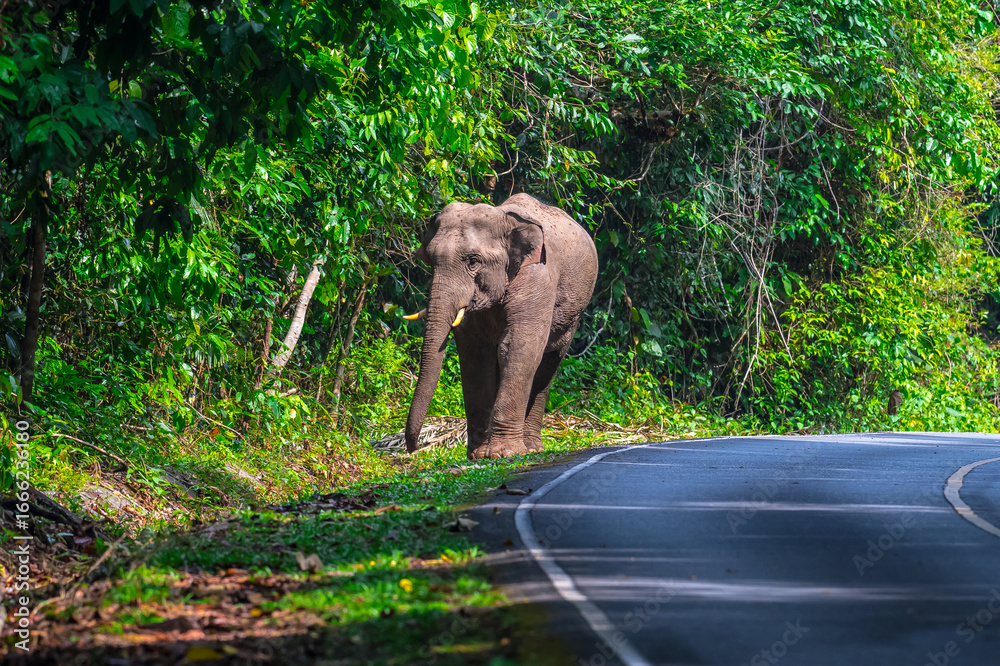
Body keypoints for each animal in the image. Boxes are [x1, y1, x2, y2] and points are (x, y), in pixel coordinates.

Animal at [404, 193, 599, 460]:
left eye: (473, 261)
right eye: (430, 260)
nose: (414, 448)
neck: (504, 219)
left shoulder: (536, 279)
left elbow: (517, 347)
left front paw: (502, 454)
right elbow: (475, 354)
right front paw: (478, 455)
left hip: (572, 316)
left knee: (549, 361)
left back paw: (532, 447)